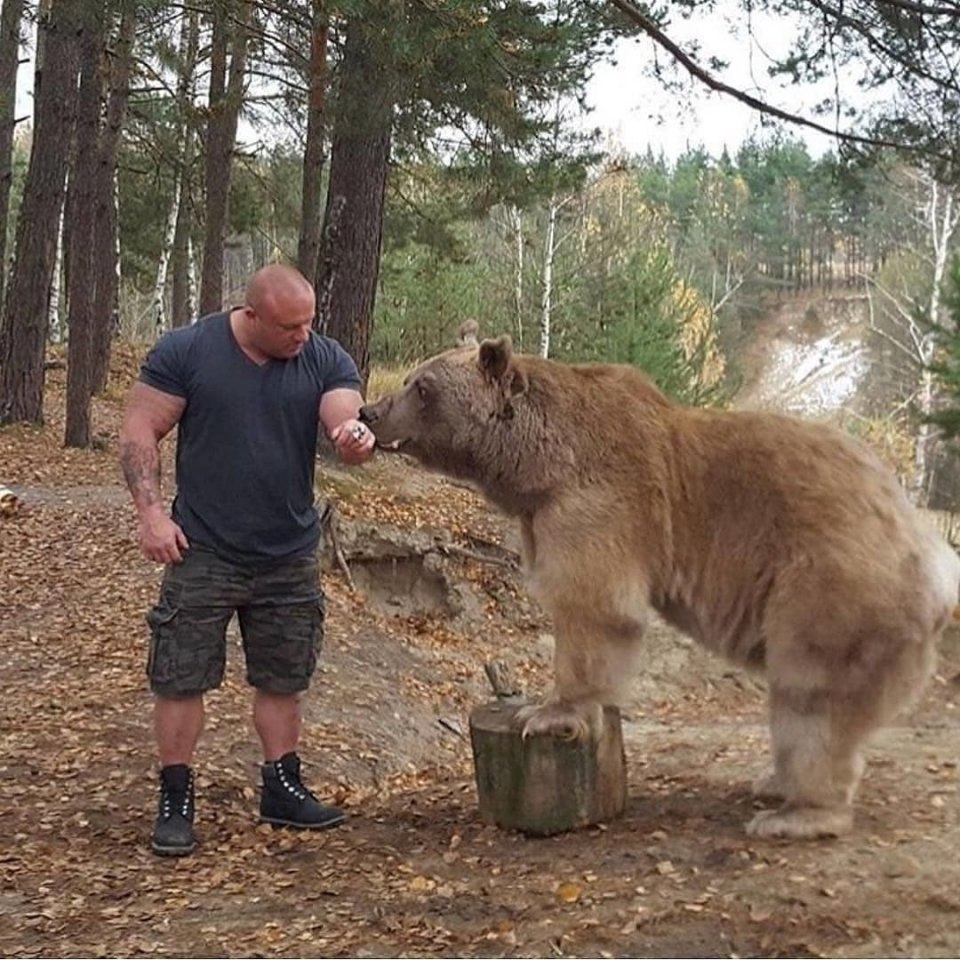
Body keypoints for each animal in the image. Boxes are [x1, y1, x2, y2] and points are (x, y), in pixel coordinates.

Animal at [360, 338, 960, 840]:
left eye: (422, 386)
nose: (370, 411)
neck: (540, 464)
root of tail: (931, 551)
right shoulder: (543, 515)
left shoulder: (601, 505)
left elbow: (595, 606)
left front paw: (549, 714)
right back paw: (775, 784)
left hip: (830, 584)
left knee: (813, 694)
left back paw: (795, 814)